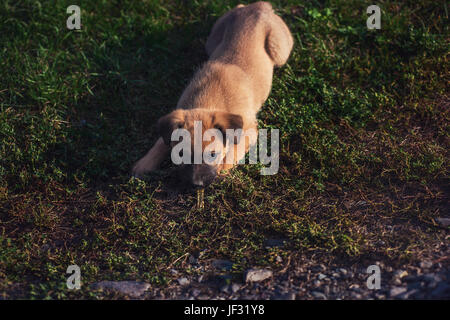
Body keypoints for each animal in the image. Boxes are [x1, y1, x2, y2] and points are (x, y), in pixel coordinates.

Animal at [132, 1, 294, 188]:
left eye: (212, 154)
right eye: (181, 154)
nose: (196, 185)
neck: (209, 100)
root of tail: (259, 6)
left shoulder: (250, 130)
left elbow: (233, 149)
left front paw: (223, 169)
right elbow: (161, 142)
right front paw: (144, 164)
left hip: (280, 52)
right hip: (212, 41)